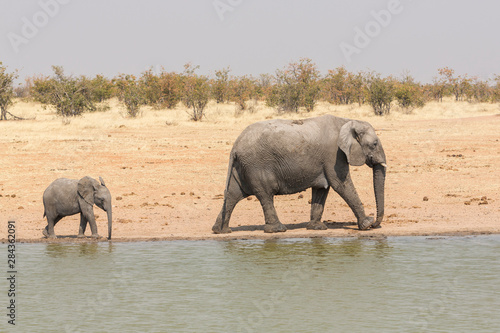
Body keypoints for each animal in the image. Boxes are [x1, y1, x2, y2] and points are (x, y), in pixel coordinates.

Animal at [211, 115, 386, 233]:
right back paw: (278, 229)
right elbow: (341, 185)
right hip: (256, 165)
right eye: (374, 144)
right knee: (265, 195)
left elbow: (322, 189)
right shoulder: (334, 155)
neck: (347, 121)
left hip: (241, 167)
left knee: (232, 195)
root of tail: (235, 146)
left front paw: (317, 228)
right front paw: (367, 224)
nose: (376, 224)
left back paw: (221, 230)